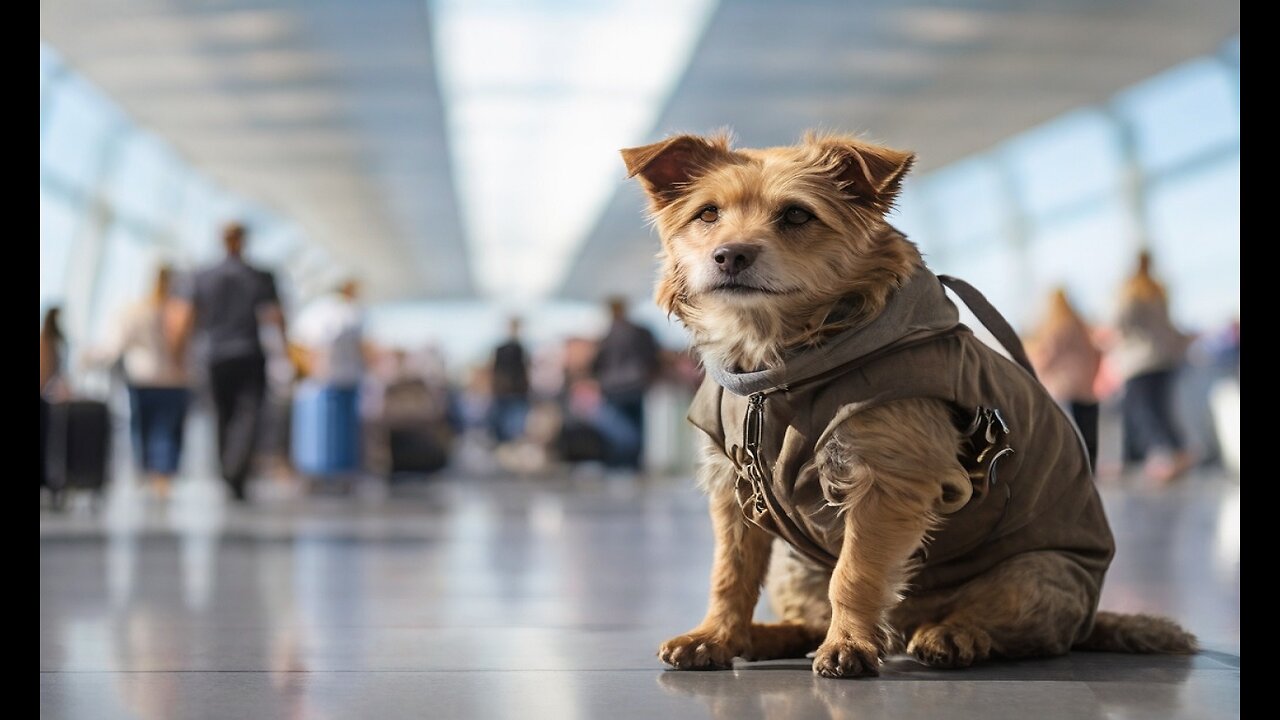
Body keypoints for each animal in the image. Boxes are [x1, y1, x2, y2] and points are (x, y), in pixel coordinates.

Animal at [622, 130, 1198, 676]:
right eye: (707, 214)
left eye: (796, 214)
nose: (730, 255)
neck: (776, 368)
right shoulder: (733, 491)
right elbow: (730, 573)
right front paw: (715, 636)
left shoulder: (885, 483)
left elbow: (854, 575)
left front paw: (849, 646)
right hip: (795, 561)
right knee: (808, 619)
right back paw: (764, 636)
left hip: (1034, 572)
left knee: (1019, 631)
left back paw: (952, 636)